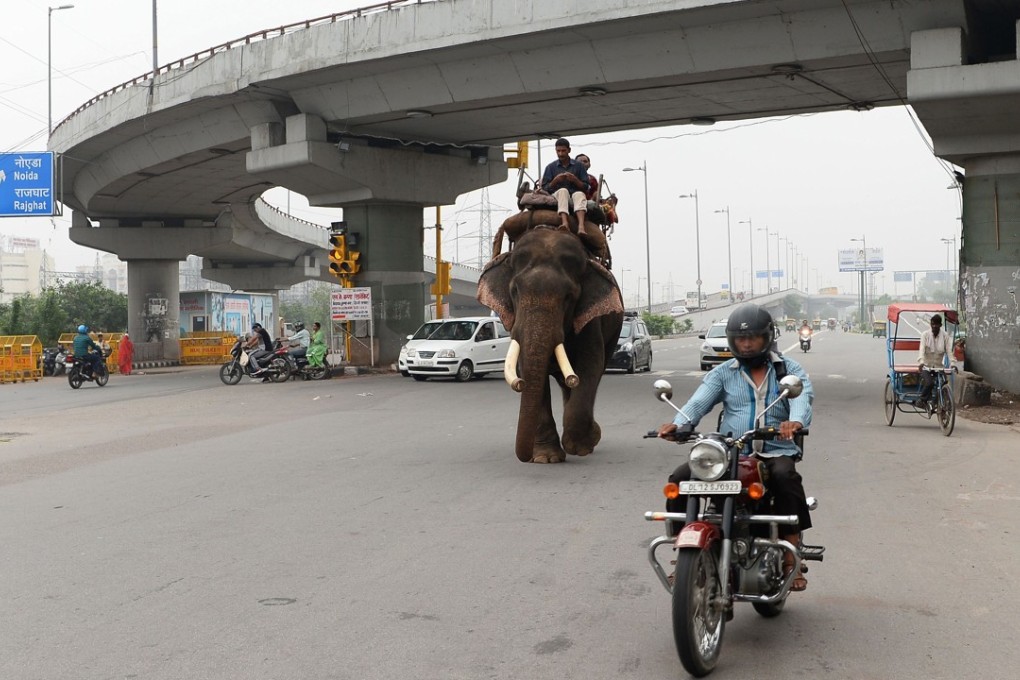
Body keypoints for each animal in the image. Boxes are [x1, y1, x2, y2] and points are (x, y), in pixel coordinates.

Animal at [477, 227, 624, 463]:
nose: (518, 384)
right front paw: (546, 458)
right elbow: (529, 371)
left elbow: (590, 365)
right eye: (515, 291)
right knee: (566, 385)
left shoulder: (589, 322)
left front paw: (580, 445)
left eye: (568, 297)